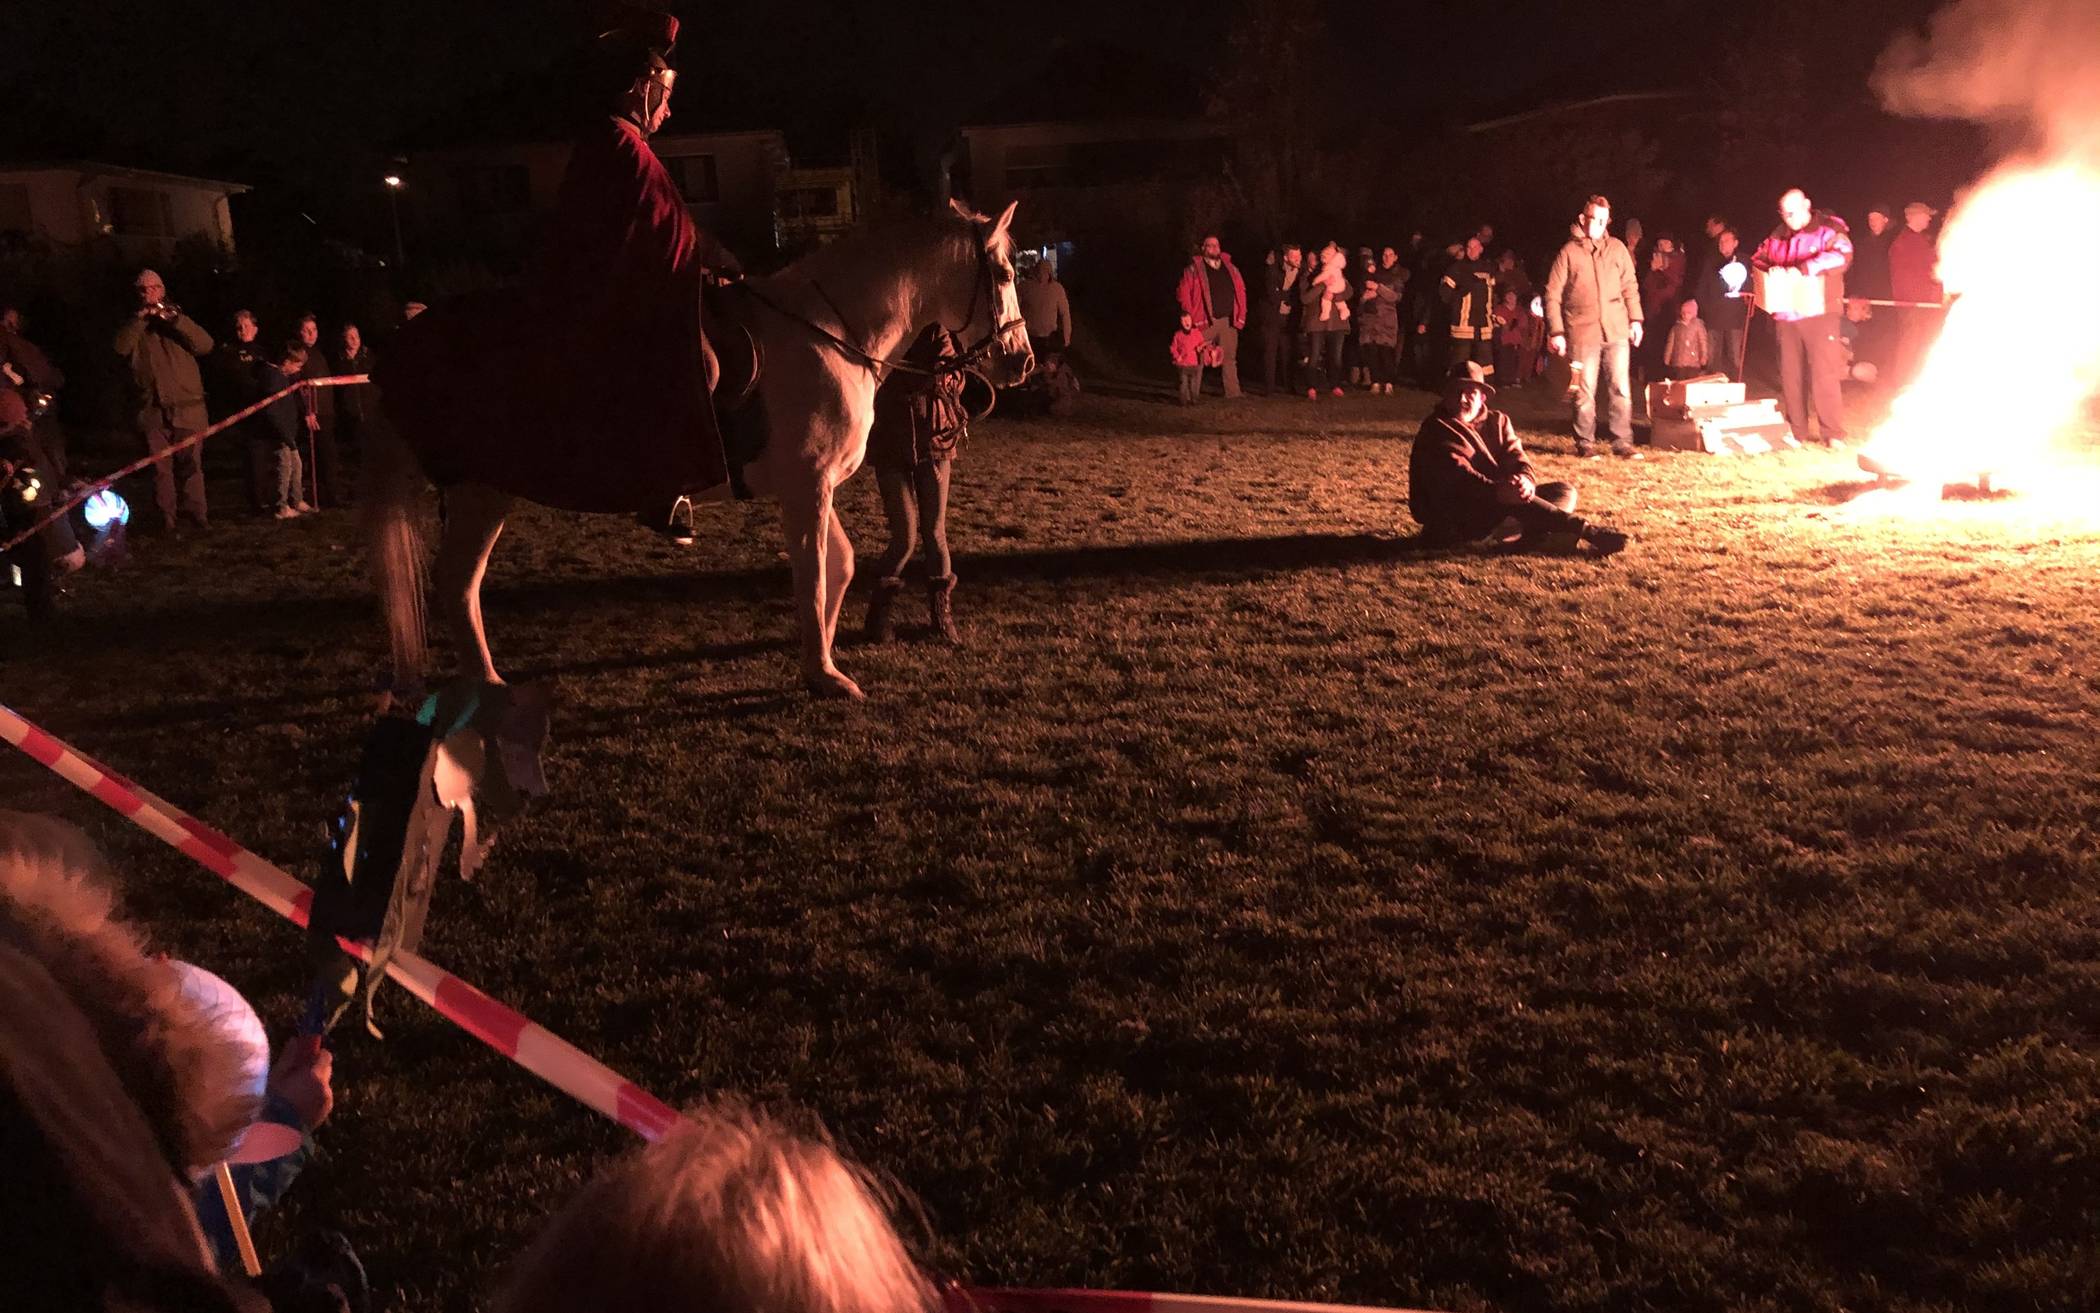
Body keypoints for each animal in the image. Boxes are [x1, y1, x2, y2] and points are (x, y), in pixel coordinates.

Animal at [371, 195, 1041, 701]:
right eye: (1006, 274)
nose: (1023, 363)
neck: (830, 334)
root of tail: (406, 339)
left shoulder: (810, 484)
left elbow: (840, 566)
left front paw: (818, 654)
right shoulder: (808, 485)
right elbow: (811, 573)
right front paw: (822, 674)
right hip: (481, 492)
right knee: (458, 582)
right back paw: (487, 686)